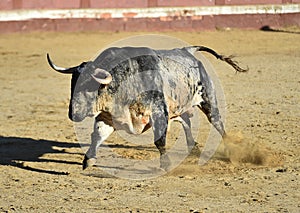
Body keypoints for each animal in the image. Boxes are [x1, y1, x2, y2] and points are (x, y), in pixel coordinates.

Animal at [47, 45, 247, 171]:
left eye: (89, 85)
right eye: (73, 83)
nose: (73, 114)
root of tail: (187, 50)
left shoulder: (159, 112)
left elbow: (159, 141)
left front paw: (165, 165)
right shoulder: (107, 117)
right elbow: (97, 136)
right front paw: (88, 160)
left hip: (208, 99)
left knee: (217, 122)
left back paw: (230, 149)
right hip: (179, 106)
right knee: (186, 121)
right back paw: (193, 147)